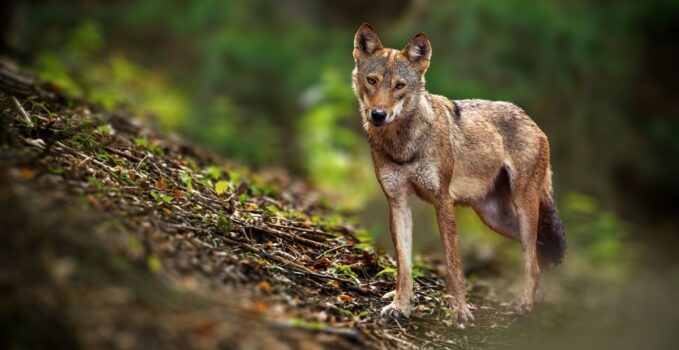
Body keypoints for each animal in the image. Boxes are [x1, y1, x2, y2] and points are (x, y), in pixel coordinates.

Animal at [350, 23, 568, 326]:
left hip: (523, 207)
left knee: (533, 257)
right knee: (540, 249)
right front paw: (400, 305)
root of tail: (532, 121)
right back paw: (537, 300)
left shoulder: (443, 201)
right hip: (494, 217)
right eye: (372, 80)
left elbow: (454, 265)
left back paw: (525, 303)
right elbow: (404, 265)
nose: (378, 115)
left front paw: (460, 312)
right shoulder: (398, 202)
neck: (404, 144)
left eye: (399, 86)